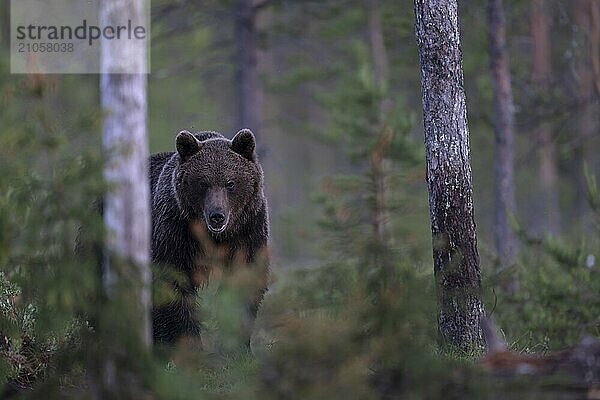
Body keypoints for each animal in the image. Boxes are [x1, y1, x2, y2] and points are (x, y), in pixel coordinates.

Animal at [150, 128, 270, 344]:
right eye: (203, 183)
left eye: (230, 183)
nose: (217, 216)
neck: (214, 237)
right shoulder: (175, 231)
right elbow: (172, 284)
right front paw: (187, 341)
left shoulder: (247, 231)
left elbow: (243, 282)